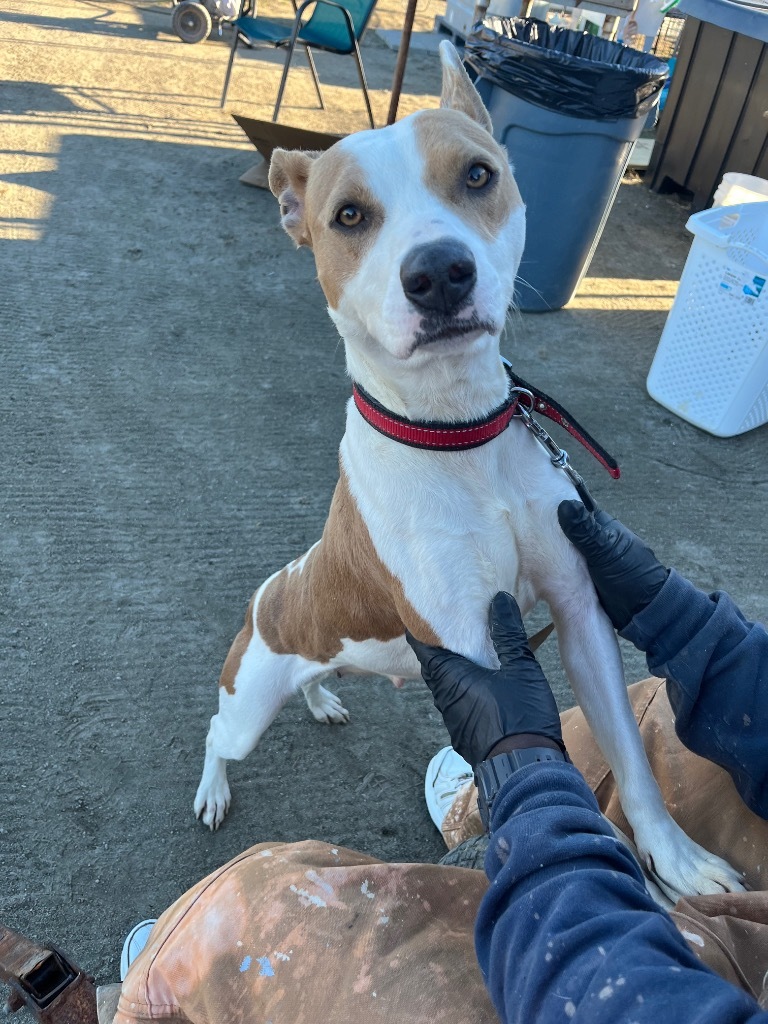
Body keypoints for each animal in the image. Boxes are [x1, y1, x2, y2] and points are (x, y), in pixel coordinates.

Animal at [195, 44, 749, 901]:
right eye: (348, 216)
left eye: (478, 175)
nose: (439, 273)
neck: (455, 430)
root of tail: (275, 588)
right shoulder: (476, 648)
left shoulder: (580, 611)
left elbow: (632, 762)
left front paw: (676, 859)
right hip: (249, 704)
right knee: (216, 736)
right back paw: (212, 791)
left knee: (314, 679)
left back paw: (322, 700)